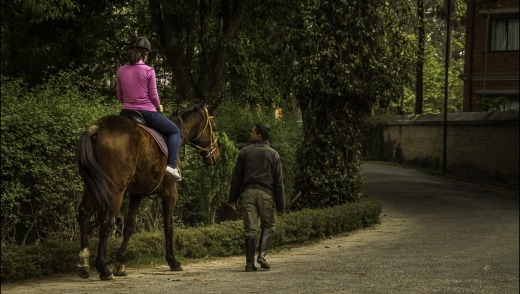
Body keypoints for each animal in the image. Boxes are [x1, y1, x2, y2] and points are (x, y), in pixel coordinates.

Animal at [74, 104, 219, 280]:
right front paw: (173, 261)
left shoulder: (137, 194)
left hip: (91, 184)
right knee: (107, 221)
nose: (216, 157)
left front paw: (120, 264)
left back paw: (83, 263)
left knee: (84, 214)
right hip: (115, 189)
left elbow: (129, 227)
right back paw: (103, 268)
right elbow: (169, 226)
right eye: (214, 127)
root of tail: (97, 127)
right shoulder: (170, 193)